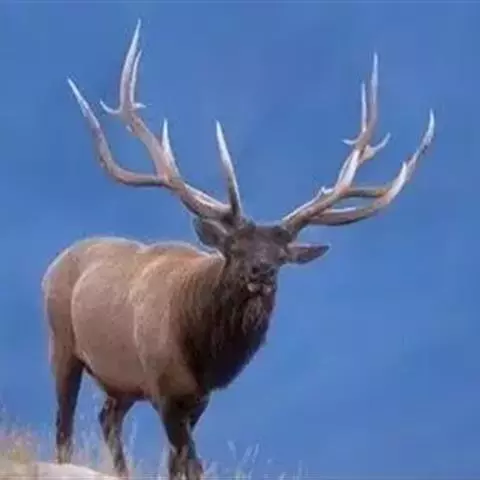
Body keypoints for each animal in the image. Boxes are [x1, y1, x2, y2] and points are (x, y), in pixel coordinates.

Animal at [42, 20, 435, 480]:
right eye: (234, 249)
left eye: (281, 258)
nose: (260, 272)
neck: (202, 353)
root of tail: (56, 262)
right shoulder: (164, 386)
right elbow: (191, 462)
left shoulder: (197, 398)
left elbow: (179, 464)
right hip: (62, 343)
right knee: (65, 423)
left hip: (120, 382)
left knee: (107, 418)